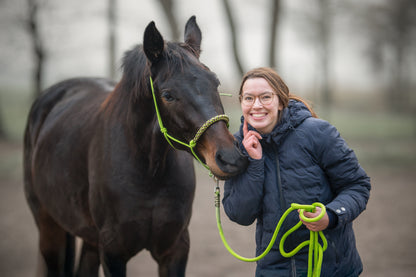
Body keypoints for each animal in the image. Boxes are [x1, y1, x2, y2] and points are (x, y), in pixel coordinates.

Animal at [23, 16, 247, 274]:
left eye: (215, 83)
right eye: (168, 95)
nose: (230, 159)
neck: (149, 174)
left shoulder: (175, 249)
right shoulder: (112, 252)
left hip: (89, 240)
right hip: (49, 228)